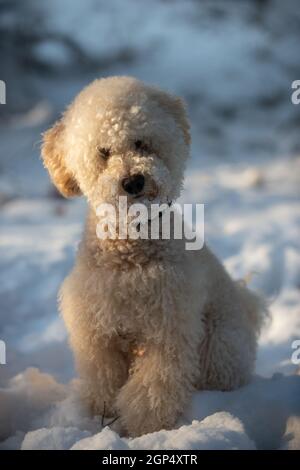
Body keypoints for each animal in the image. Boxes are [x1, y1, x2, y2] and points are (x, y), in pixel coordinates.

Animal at [41, 77, 266, 436]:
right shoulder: (96, 326)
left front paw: (145, 426)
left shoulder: (169, 323)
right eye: (103, 152)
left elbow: (154, 384)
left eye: (141, 143)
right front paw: (100, 412)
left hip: (218, 343)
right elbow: (102, 372)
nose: (133, 181)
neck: (131, 250)